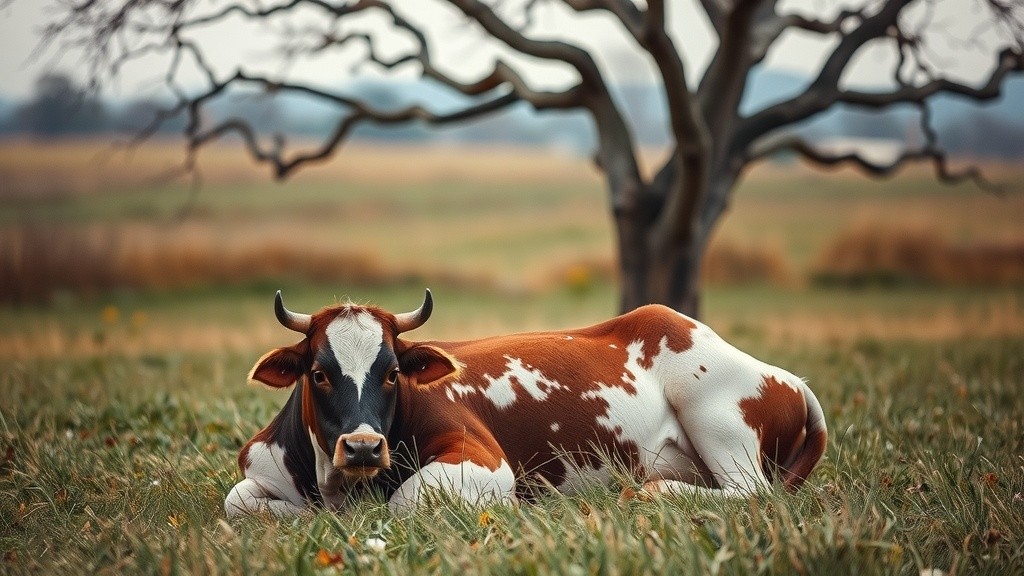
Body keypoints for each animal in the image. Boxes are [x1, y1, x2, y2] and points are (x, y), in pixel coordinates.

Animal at [224, 289, 827, 518]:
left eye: (393, 373)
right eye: (318, 374)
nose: (365, 447)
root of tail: (788, 378)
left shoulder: (485, 462)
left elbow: (404, 501)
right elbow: (237, 502)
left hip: (715, 415)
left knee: (753, 493)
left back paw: (648, 491)